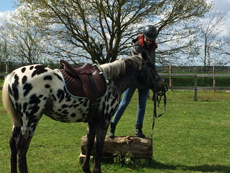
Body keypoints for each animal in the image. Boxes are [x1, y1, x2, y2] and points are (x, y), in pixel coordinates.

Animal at [2, 53, 163, 173]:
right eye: (151, 67)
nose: (161, 84)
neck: (111, 81)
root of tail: (14, 75)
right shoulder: (104, 121)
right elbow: (99, 147)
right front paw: (97, 170)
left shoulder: (92, 121)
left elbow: (90, 144)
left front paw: (86, 168)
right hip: (31, 120)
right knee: (21, 147)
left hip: (18, 121)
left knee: (12, 144)